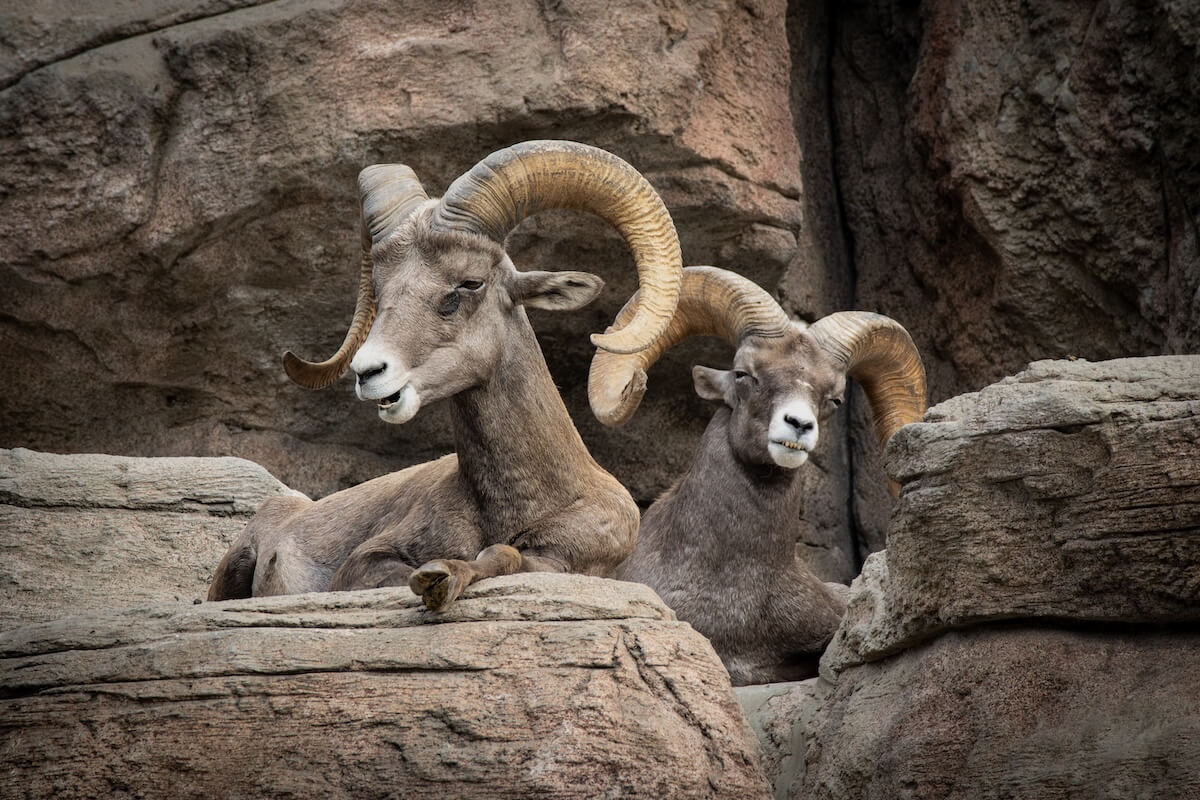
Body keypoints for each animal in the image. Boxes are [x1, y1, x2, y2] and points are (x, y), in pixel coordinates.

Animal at [208, 140, 683, 611]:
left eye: (470, 283)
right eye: (379, 290)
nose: (369, 372)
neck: (530, 500)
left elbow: (505, 555)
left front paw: (442, 577)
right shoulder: (364, 565)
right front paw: (437, 577)